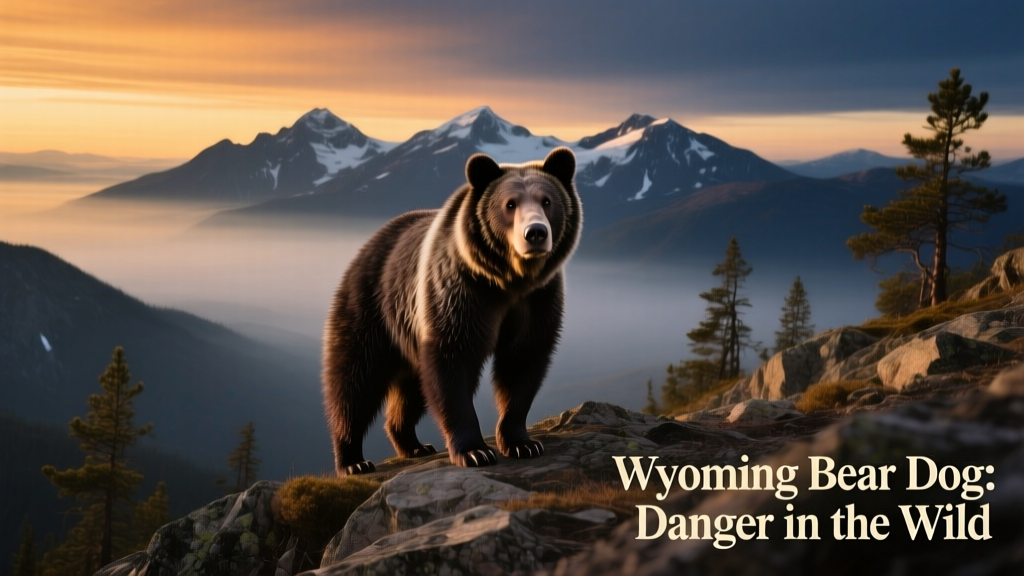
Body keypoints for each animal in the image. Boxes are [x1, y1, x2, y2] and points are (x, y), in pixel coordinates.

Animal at [322, 146, 581, 475]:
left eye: (547, 200)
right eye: (510, 204)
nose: (535, 233)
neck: (509, 280)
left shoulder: (537, 300)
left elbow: (522, 362)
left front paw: (523, 443)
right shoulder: (462, 293)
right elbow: (452, 362)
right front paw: (475, 451)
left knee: (410, 390)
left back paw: (414, 445)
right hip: (370, 308)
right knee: (355, 382)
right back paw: (353, 460)